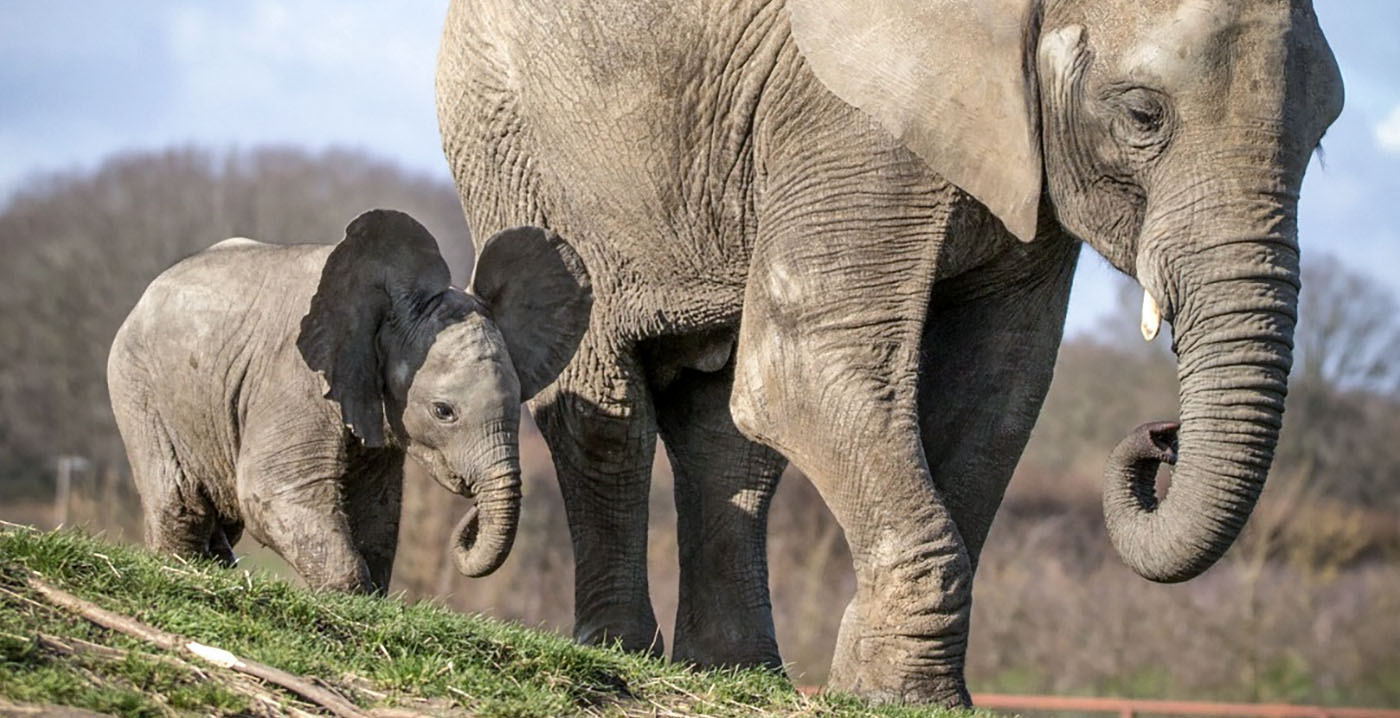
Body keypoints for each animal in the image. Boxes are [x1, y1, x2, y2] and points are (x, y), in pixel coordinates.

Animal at [107, 209, 590, 590]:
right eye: (444, 412)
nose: (468, 518)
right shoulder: (294, 380)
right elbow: (271, 491)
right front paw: (349, 593)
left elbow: (376, 512)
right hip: (135, 384)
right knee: (180, 504)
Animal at [431, 0, 1338, 705]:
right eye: (1144, 115)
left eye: (1322, 141)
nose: (1160, 438)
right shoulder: (847, 117)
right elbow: (800, 367)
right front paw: (898, 694)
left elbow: (997, 395)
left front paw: (881, 690)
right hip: (510, 137)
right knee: (609, 413)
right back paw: (621, 651)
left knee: (726, 436)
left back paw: (740, 674)